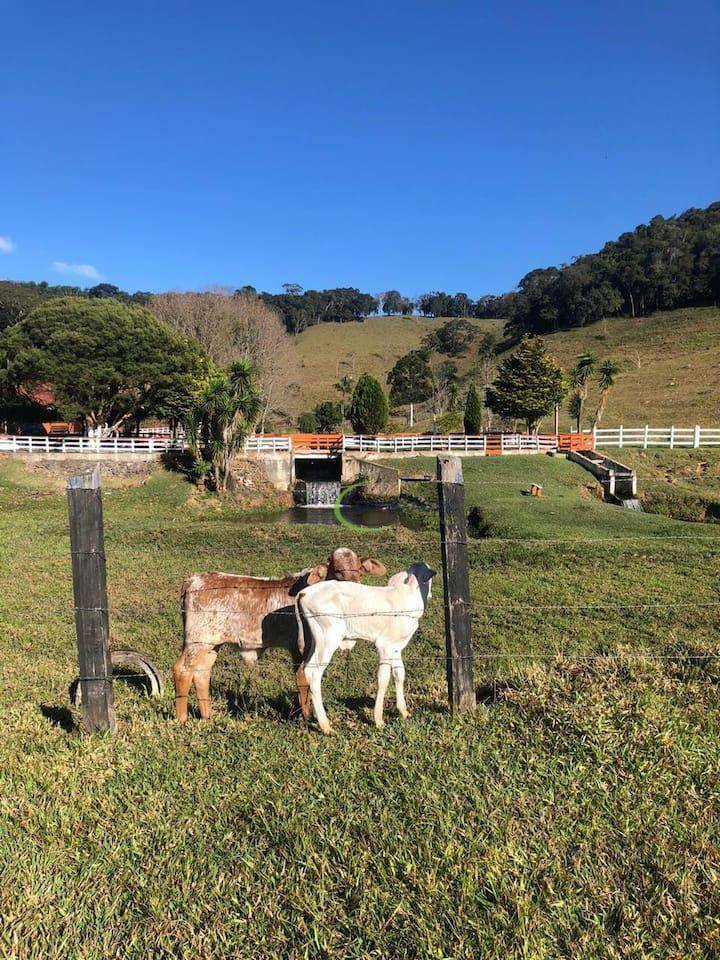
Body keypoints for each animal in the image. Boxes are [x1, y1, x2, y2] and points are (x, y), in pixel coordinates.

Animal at [173, 548, 388, 720]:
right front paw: (307, 717)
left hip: (210, 644)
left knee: (202, 673)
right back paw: (182, 720)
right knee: (182, 671)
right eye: (337, 570)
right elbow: (303, 679)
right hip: (197, 641)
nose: (352, 585)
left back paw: (207, 717)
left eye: (358, 569)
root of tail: (194, 579)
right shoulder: (305, 646)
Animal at [296, 564, 436, 736]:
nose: (430, 595)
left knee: (305, 668)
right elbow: (383, 679)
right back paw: (325, 726)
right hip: (328, 638)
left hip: (315, 640)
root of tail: (305, 592)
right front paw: (378, 720)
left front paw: (404, 712)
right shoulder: (385, 645)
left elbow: (399, 674)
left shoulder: (396, 647)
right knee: (313, 673)